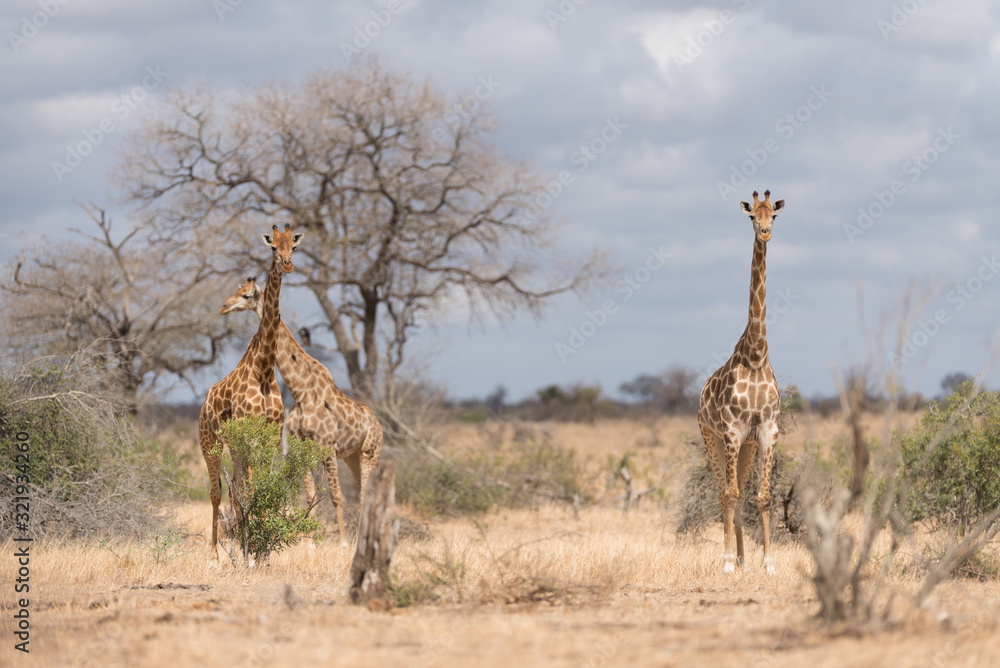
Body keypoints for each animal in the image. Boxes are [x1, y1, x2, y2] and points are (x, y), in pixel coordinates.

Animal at [199, 224, 303, 561]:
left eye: (293, 246)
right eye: (272, 248)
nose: (287, 264)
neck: (265, 369)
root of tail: (204, 402)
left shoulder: (271, 434)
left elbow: (262, 487)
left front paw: (260, 549)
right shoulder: (251, 434)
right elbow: (251, 489)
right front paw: (251, 549)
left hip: (236, 446)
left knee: (235, 488)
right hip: (211, 443)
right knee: (217, 491)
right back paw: (215, 555)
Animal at [219, 277, 383, 545]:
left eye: (246, 295)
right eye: (236, 290)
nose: (224, 307)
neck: (301, 391)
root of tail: (378, 425)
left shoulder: (327, 447)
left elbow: (336, 496)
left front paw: (342, 541)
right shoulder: (301, 444)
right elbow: (309, 497)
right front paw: (310, 543)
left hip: (370, 453)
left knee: (364, 496)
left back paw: (359, 539)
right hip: (353, 456)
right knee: (364, 493)